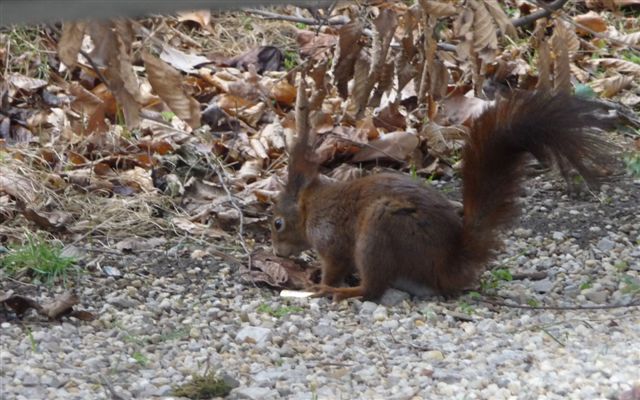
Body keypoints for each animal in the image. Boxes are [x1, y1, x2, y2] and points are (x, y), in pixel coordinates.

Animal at [268, 90, 616, 302]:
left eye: (277, 223)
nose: (276, 252)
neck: (312, 206)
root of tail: (447, 264)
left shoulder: (332, 240)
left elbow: (335, 264)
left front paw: (319, 280)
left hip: (379, 232)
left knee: (374, 287)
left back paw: (341, 291)